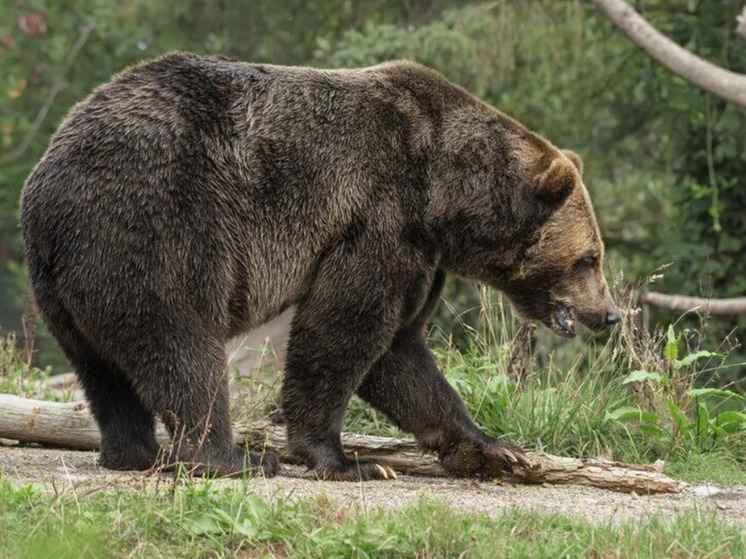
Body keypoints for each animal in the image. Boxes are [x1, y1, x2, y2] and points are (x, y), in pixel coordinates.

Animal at [20, 52, 620, 482]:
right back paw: (229, 458)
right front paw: (348, 461)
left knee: (102, 369)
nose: (609, 314)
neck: (446, 197)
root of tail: (48, 183)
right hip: (156, 226)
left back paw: (132, 452)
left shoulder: (421, 253)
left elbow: (400, 352)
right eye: (590, 257)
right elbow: (344, 330)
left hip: (63, 284)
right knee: (182, 344)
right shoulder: (379, 217)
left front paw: (495, 449)